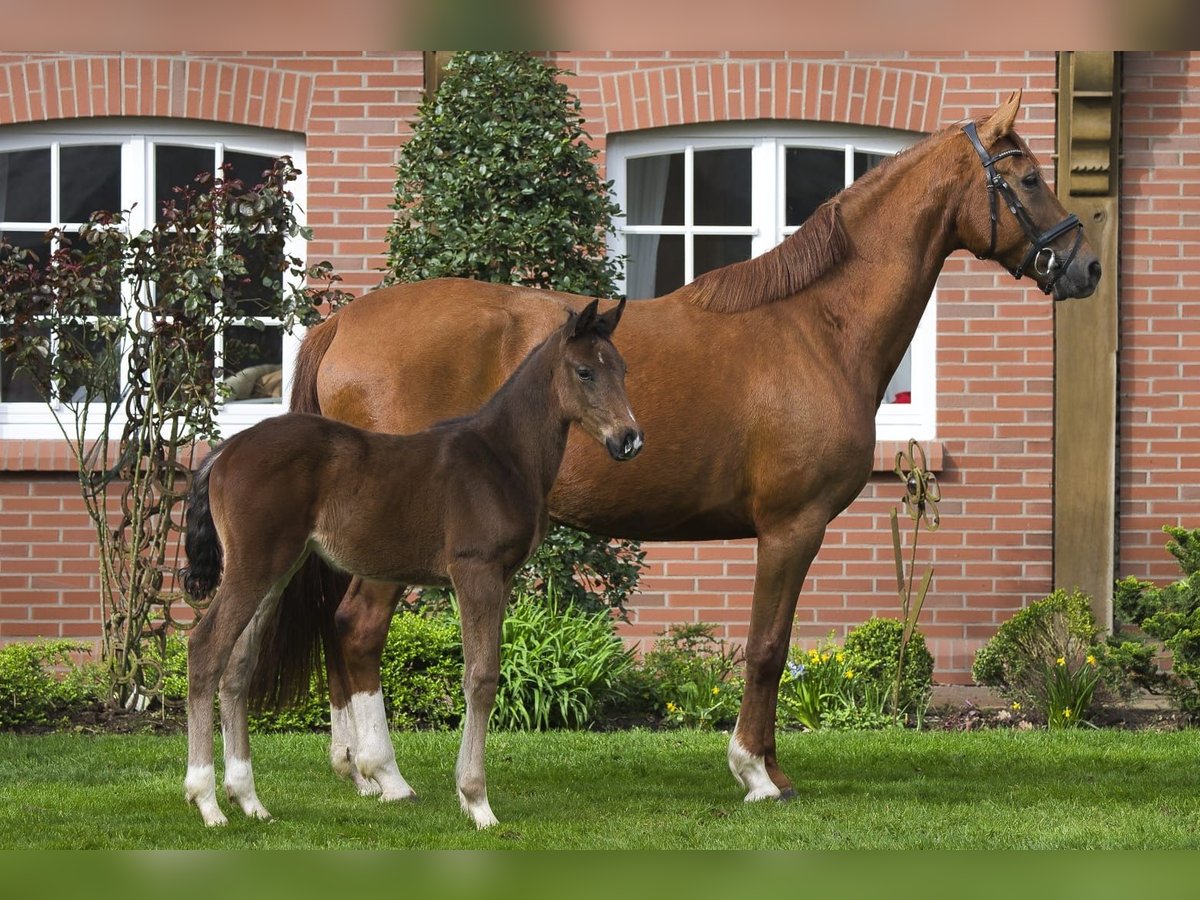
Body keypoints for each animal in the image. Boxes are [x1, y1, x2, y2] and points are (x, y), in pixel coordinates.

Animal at [177, 301, 638, 830]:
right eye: (584, 371)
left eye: (622, 369)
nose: (629, 439)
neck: (501, 457)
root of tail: (224, 451)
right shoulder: (476, 572)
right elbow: (481, 678)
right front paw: (476, 801)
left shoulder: (502, 578)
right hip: (253, 567)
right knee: (205, 649)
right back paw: (207, 800)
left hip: (276, 569)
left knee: (238, 663)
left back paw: (248, 798)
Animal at [276, 93, 1099, 811]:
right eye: (1029, 177)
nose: (1085, 266)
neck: (817, 327)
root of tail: (345, 323)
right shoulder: (791, 528)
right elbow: (767, 648)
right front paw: (756, 774)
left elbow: (773, 647)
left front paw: (771, 770)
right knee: (358, 628)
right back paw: (385, 776)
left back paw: (354, 769)